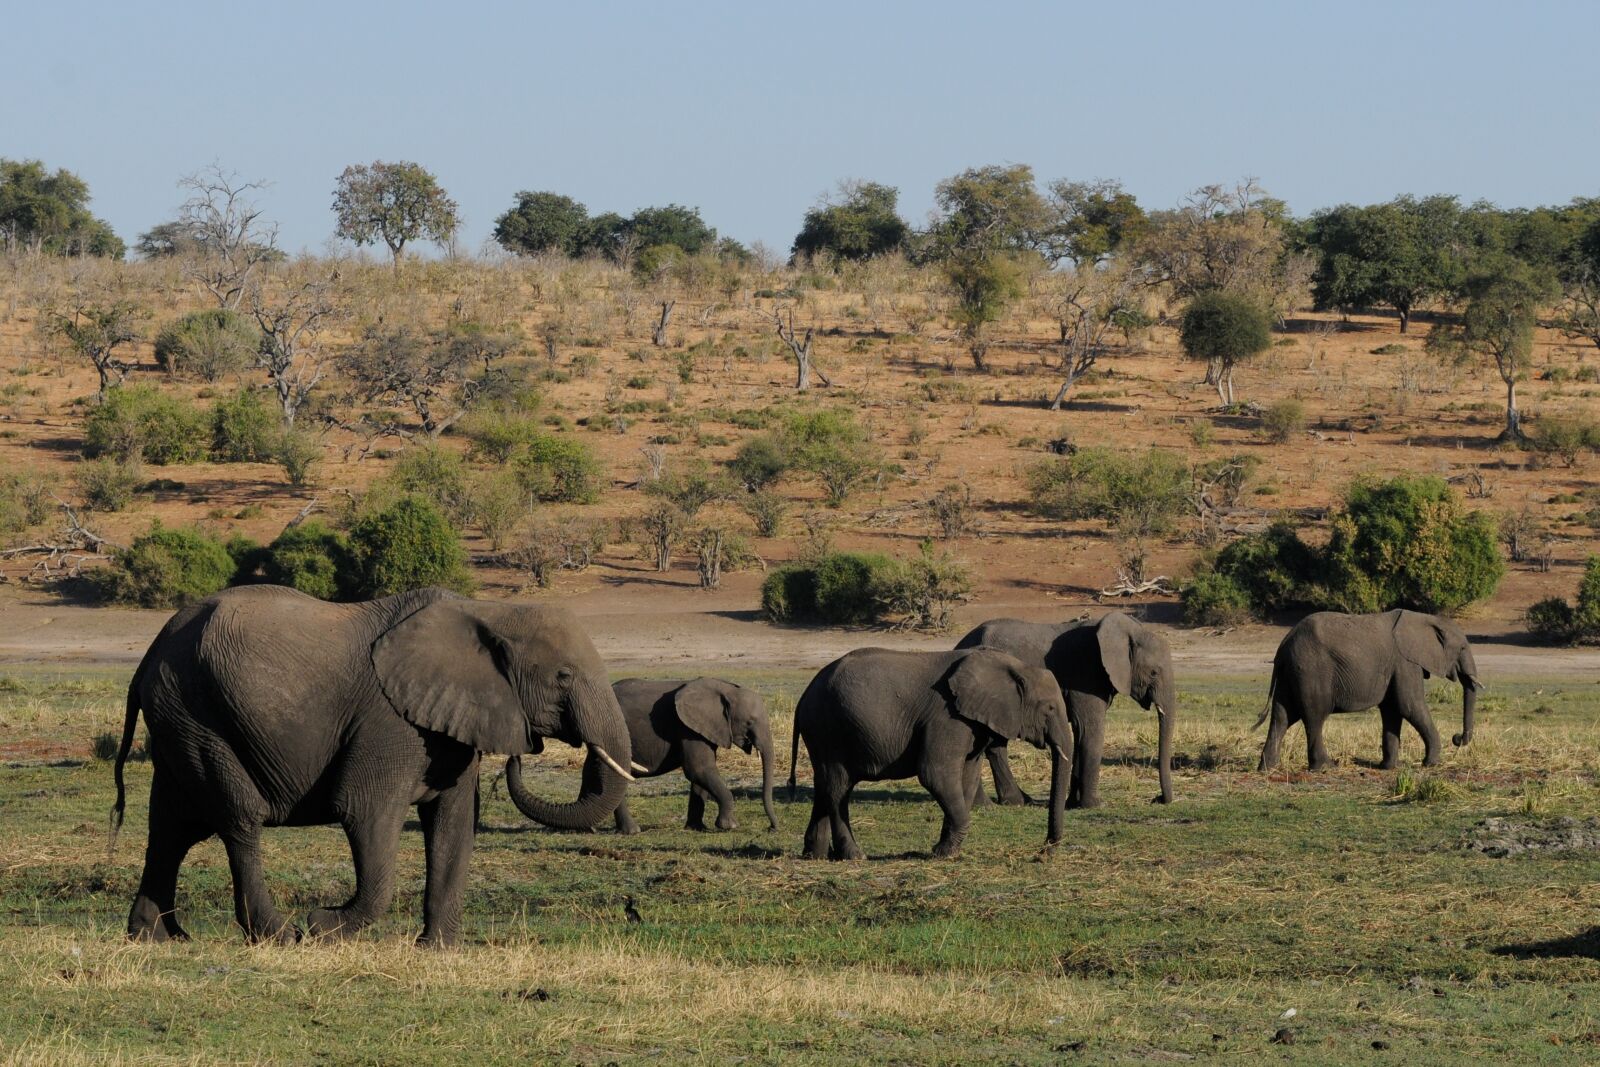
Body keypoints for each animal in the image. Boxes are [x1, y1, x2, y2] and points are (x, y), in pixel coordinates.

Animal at [110, 585, 633, 947]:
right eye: (563, 676)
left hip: (178, 718)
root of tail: (150, 652)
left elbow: (453, 826)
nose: (525, 750)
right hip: (196, 714)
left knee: (171, 828)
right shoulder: (389, 722)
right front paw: (322, 926)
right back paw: (279, 936)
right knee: (238, 819)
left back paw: (156, 938)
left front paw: (437, 951)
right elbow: (365, 812)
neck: (488, 610)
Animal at [788, 647, 1071, 860]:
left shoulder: (972, 722)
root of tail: (803, 697)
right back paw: (854, 856)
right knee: (838, 788)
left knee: (824, 785)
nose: (1044, 852)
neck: (1015, 666)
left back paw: (816, 855)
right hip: (829, 730)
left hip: (824, 734)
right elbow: (935, 774)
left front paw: (947, 851)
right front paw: (942, 854)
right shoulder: (947, 717)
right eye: (1049, 709)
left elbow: (967, 779)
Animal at [955, 612, 1175, 809]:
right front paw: (1093, 805)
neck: (1129, 631)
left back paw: (1008, 802)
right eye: (1154, 673)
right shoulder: (1085, 675)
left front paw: (1072, 804)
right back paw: (1002, 803)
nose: (1157, 799)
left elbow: (1080, 732)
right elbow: (1090, 730)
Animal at [1256, 608, 1482, 772]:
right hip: (1311, 670)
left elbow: (1393, 710)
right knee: (1314, 717)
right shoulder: (1405, 663)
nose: (1456, 738)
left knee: (1282, 717)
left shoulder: (1396, 666)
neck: (1425, 618)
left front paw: (1390, 767)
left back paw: (1267, 769)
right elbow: (1409, 705)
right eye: (1462, 648)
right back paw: (1326, 767)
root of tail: (1283, 645)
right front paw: (1431, 764)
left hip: (1291, 673)